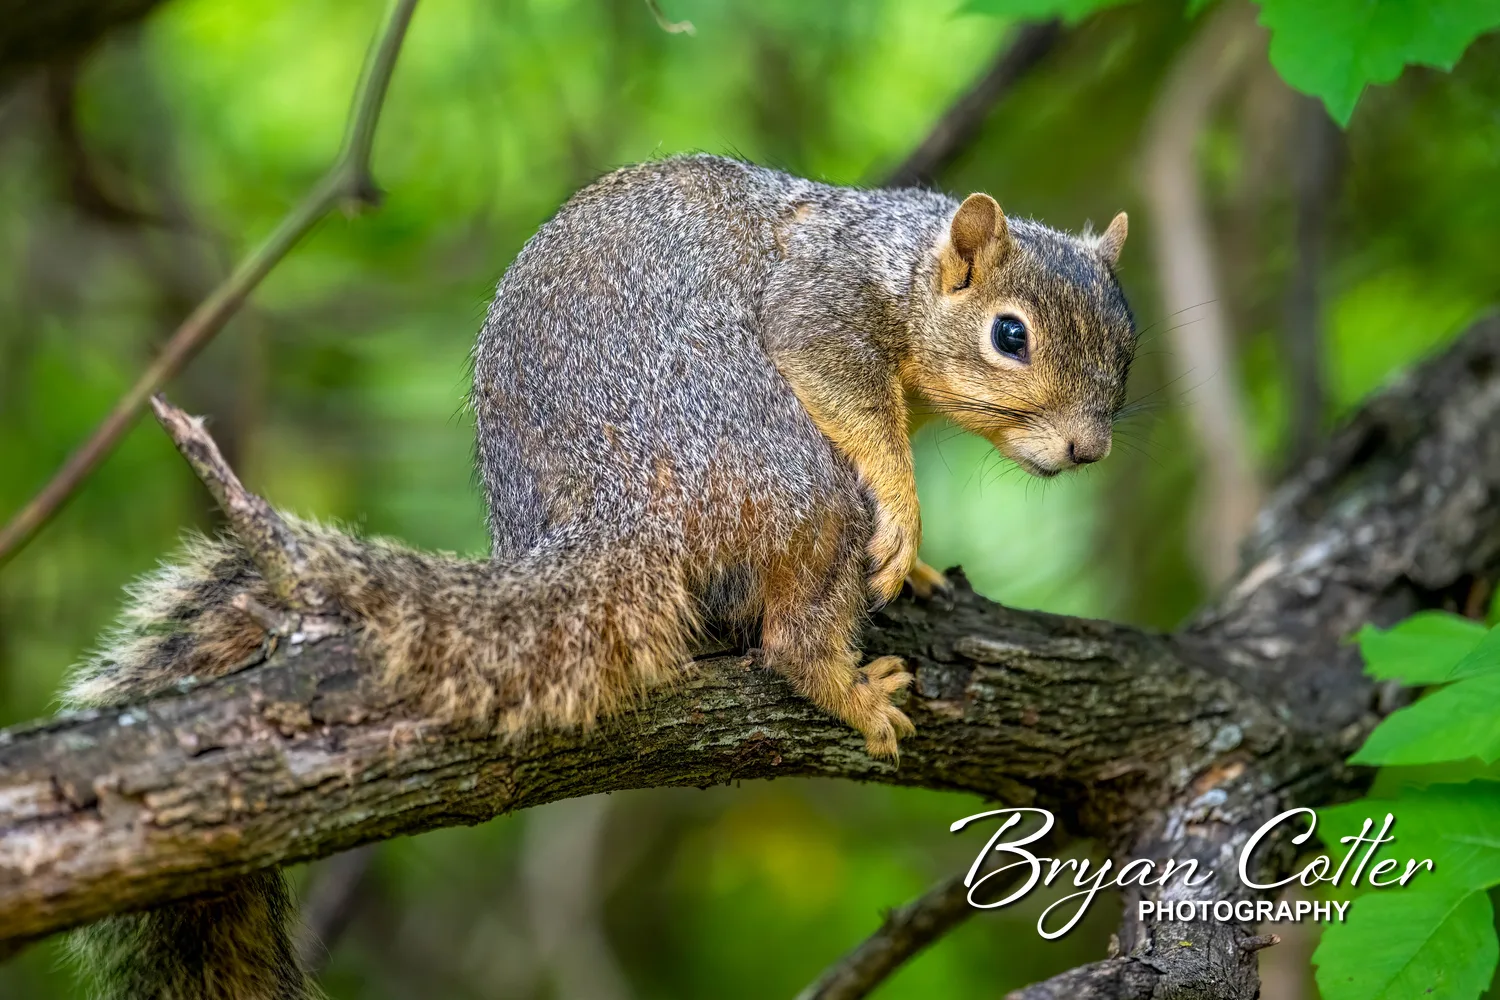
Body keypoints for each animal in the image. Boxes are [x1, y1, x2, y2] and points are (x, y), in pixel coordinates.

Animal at [62, 154, 1134, 999]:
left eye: (1128, 350)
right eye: (1009, 335)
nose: (1087, 450)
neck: (900, 264)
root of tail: (616, 506)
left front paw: (915, 575)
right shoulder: (822, 307)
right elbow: (856, 408)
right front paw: (904, 522)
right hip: (790, 474)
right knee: (788, 630)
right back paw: (845, 685)